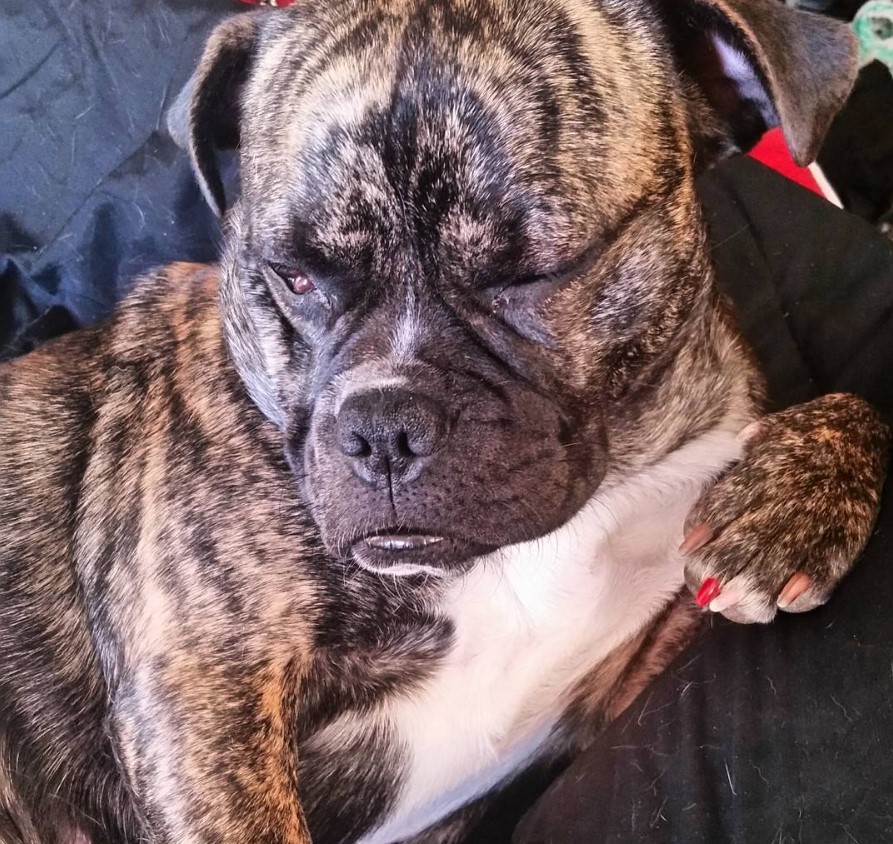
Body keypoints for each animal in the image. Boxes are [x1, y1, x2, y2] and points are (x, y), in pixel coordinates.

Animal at [0, 1, 888, 844]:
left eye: (539, 271)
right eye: (289, 277)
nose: (380, 426)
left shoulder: (625, 676)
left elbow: (867, 407)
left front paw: (787, 512)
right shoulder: (202, 689)